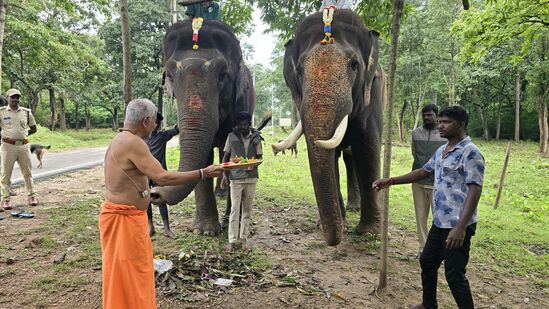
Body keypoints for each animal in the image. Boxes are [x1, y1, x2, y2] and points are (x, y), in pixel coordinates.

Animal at [272, 10, 386, 245]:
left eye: (354, 65)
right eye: (299, 70)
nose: (333, 240)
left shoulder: (373, 92)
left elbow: (368, 148)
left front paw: (369, 233)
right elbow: (330, 158)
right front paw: (338, 224)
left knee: (354, 158)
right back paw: (351, 209)